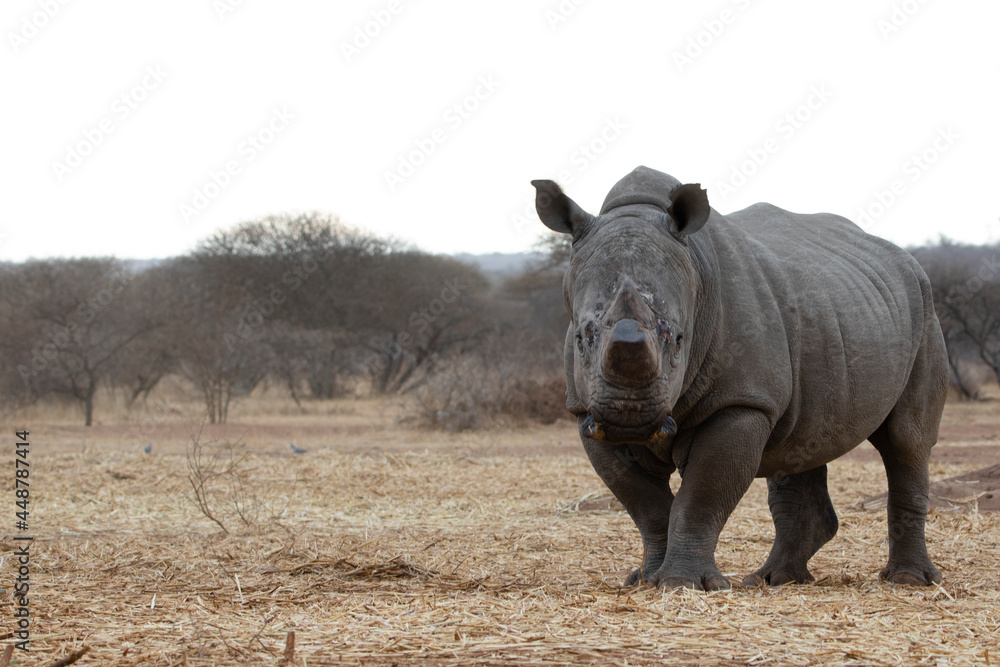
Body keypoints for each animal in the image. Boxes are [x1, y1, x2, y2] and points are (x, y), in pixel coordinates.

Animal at [533, 166, 947, 590]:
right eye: (582, 337)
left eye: (678, 338)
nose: (627, 416)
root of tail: (906, 259)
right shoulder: (584, 411)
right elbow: (645, 504)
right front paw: (645, 580)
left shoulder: (741, 400)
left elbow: (701, 495)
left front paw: (682, 584)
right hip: (832, 311)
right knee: (802, 439)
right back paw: (775, 579)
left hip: (925, 308)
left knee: (906, 441)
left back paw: (908, 580)